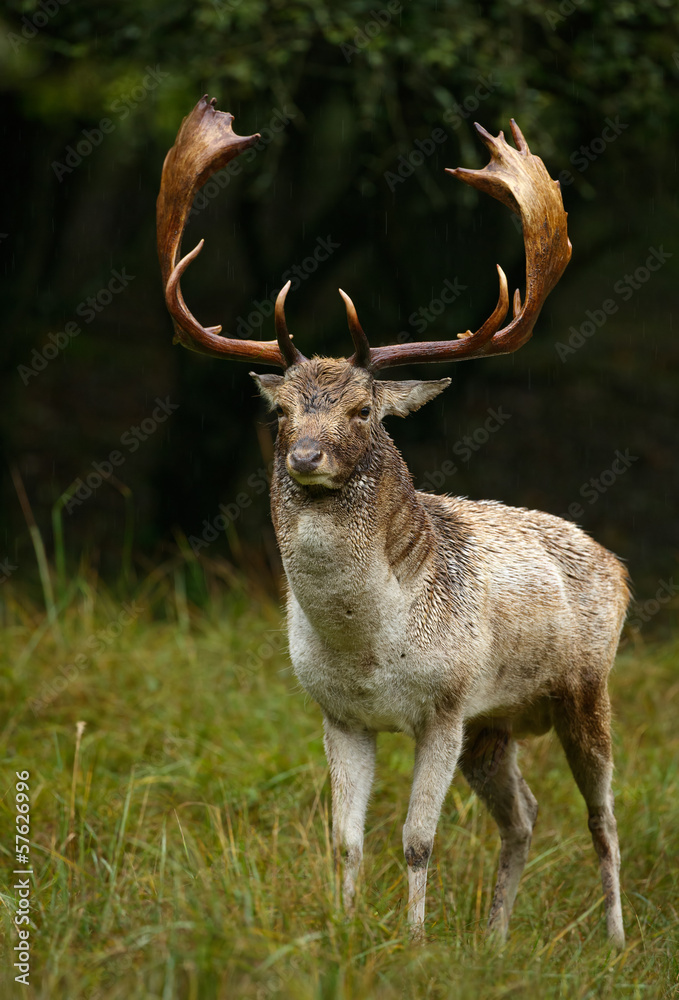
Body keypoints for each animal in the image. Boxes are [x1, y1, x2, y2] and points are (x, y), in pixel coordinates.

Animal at [157, 96, 629, 948]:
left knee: (602, 817)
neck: (369, 646)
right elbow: (346, 838)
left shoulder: (444, 704)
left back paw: (612, 942)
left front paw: (412, 944)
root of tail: (618, 564)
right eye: (281, 411)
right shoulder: (338, 713)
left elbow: (415, 840)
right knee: (523, 816)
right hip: (495, 723)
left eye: (362, 409)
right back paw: (494, 940)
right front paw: (344, 933)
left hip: (585, 687)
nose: (305, 455)